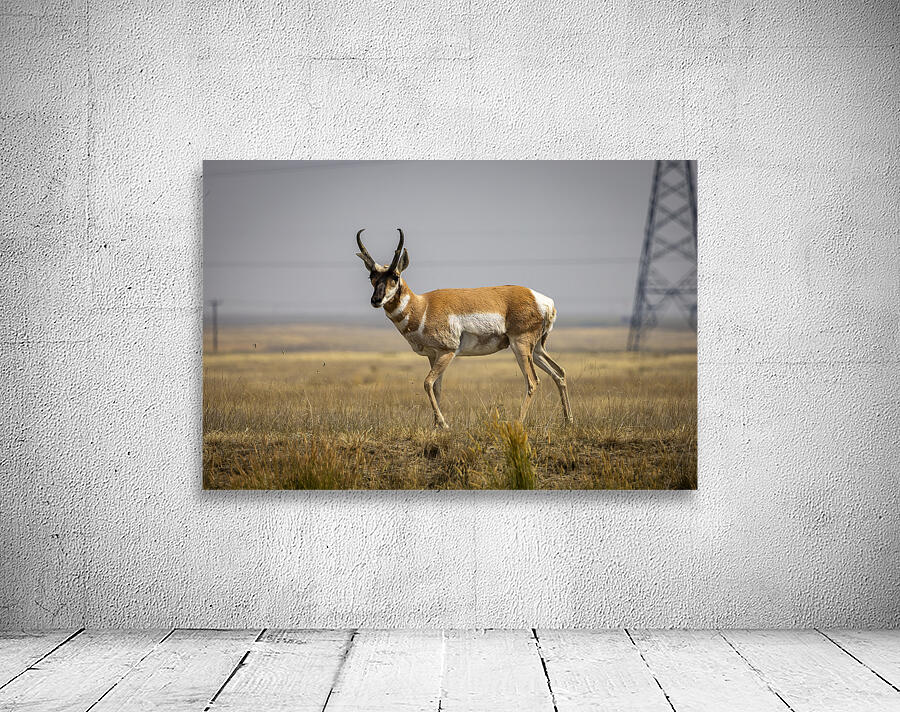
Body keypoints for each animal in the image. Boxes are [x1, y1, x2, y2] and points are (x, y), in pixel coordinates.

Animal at [356, 228, 573, 429]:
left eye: (395, 276)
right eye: (371, 276)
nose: (376, 300)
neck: (423, 306)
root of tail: (542, 300)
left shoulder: (447, 352)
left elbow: (427, 383)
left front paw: (443, 424)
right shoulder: (433, 355)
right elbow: (437, 387)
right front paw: (436, 426)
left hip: (520, 345)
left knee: (533, 381)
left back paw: (517, 423)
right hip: (536, 349)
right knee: (559, 372)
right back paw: (568, 421)